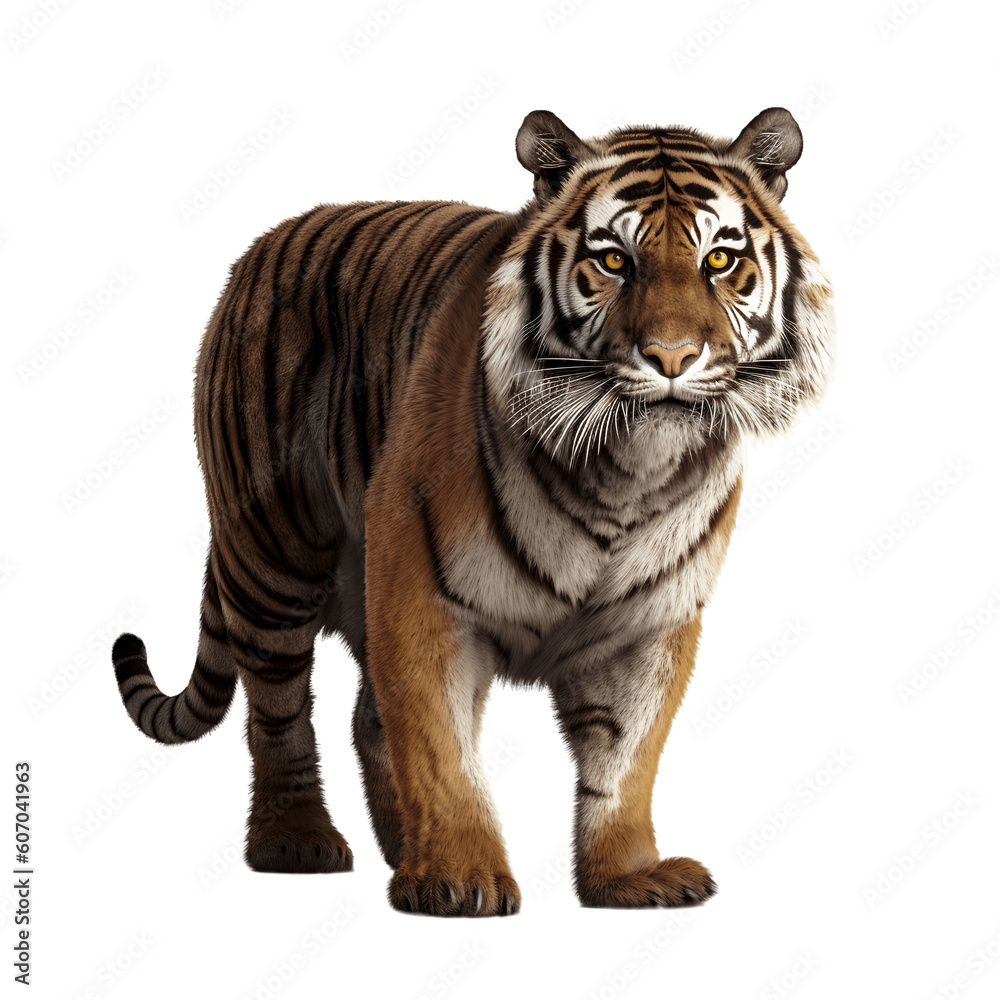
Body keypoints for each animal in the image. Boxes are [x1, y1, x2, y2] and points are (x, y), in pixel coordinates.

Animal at [112, 107, 834, 916]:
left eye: (720, 261)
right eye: (614, 262)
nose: (672, 357)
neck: (626, 472)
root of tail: (261, 247)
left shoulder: (647, 623)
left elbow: (626, 759)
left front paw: (628, 876)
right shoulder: (421, 592)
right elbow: (440, 742)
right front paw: (458, 878)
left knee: (365, 718)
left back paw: (399, 846)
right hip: (274, 549)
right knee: (277, 705)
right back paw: (295, 840)